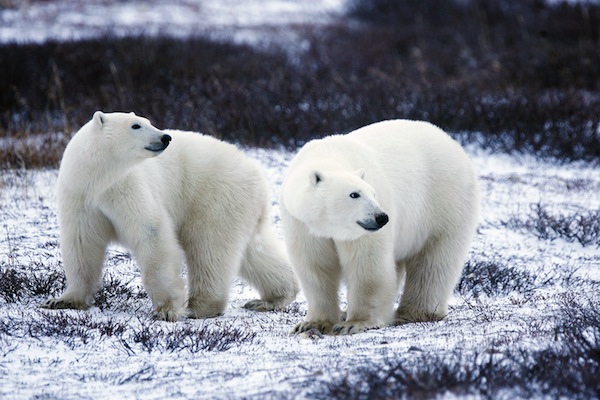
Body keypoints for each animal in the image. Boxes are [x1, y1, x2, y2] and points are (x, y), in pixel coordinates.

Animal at [41, 111, 298, 320]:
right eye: (136, 125)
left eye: (148, 121)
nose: (165, 137)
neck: (98, 179)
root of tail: (256, 172)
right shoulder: (80, 197)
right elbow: (82, 244)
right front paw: (62, 300)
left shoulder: (127, 187)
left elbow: (151, 232)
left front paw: (166, 310)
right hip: (241, 206)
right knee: (253, 250)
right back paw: (272, 298)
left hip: (215, 195)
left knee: (208, 248)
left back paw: (200, 307)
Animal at [282, 119, 478, 334]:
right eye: (354, 194)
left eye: (373, 193)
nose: (381, 218)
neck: (329, 155)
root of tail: (453, 143)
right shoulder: (302, 224)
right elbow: (315, 267)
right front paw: (312, 324)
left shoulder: (362, 232)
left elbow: (367, 265)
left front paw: (354, 323)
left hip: (444, 202)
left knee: (434, 261)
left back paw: (413, 312)